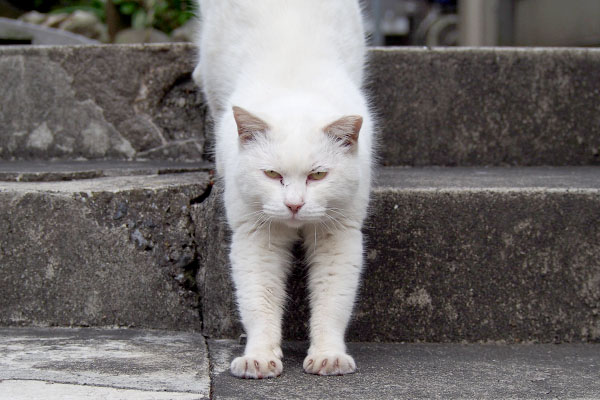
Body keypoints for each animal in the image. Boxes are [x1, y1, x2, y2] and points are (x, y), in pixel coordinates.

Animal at [196, 0, 376, 378]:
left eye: (318, 175)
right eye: (271, 174)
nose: (294, 205)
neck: (296, 91)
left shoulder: (339, 235)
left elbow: (332, 301)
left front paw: (328, 356)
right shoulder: (255, 236)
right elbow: (259, 300)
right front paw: (259, 357)